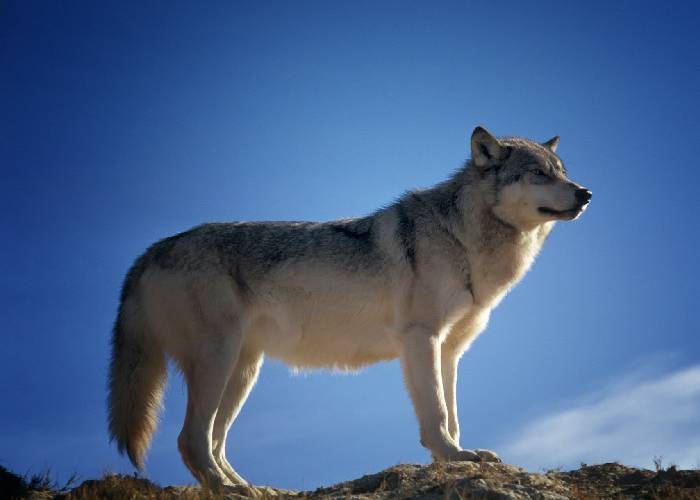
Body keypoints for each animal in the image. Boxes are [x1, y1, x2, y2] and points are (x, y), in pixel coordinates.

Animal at [108, 126, 591, 488]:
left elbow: (452, 415)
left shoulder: (450, 350)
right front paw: (453, 458)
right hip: (219, 361)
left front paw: (455, 457)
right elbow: (436, 414)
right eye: (538, 174)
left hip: (243, 372)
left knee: (213, 441)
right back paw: (228, 489)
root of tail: (149, 252)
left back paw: (250, 488)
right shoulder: (421, 339)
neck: (463, 239)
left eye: (562, 172)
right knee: (190, 440)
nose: (585, 193)